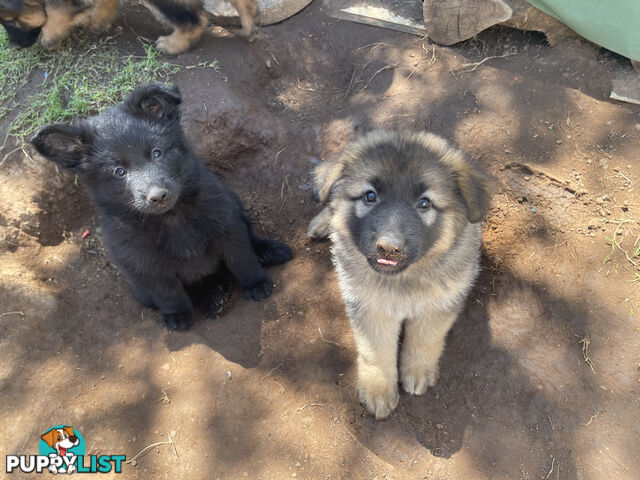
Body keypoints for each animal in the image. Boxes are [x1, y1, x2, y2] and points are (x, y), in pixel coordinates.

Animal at [31, 83, 294, 330]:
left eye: (157, 153)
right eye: (119, 172)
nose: (157, 196)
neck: (172, 218)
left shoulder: (227, 226)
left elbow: (241, 259)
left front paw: (256, 283)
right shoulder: (144, 264)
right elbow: (167, 292)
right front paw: (177, 315)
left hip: (235, 205)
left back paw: (268, 252)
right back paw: (214, 298)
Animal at [308, 129, 492, 418]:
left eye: (424, 203)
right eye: (370, 196)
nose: (389, 247)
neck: (403, 280)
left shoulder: (439, 304)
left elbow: (425, 339)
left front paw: (417, 371)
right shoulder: (369, 306)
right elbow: (375, 352)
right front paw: (378, 390)